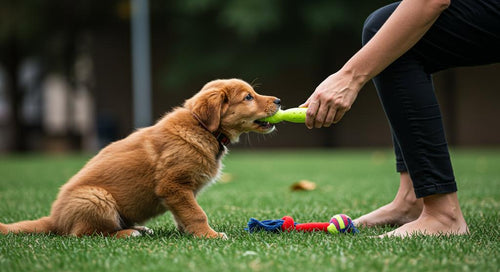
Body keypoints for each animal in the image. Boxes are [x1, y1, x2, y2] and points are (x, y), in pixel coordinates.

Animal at [0, 78, 282, 238]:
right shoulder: (173, 185)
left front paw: (189, 234)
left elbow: (185, 214)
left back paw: (139, 229)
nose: (279, 100)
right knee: (84, 234)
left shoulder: (181, 193)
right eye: (248, 97)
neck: (203, 128)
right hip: (96, 198)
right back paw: (129, 234)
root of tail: (54, 219)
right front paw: (208, 236)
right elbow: (196, 213)